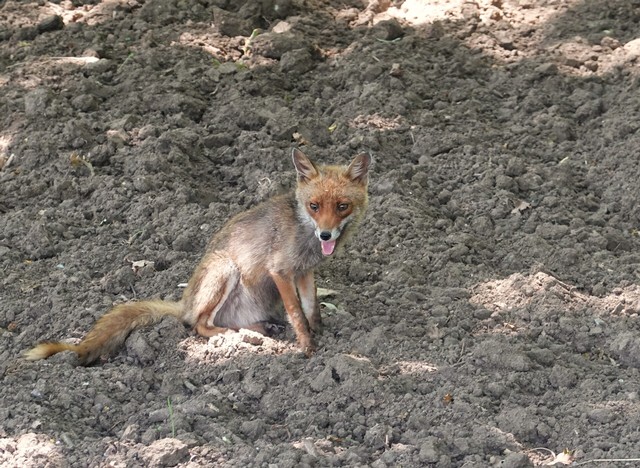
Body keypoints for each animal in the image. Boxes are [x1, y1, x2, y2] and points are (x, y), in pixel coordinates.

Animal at [24, 148, 372, 365]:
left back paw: (258, 329)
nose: (325, 235)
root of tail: (185, 301)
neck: (302, 229)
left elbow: (312, 309)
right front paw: (308, 348)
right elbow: (297, 314)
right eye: (314, 206)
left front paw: (322, 334)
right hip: (224, 269)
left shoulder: (305, 272)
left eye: (342, 206)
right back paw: (229, 335)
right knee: (197, 324)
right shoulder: (280, 271)